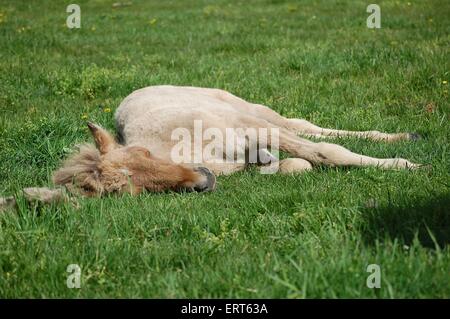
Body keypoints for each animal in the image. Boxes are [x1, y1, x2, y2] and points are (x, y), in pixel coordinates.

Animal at [0, 85, 422, 210]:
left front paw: (405, 165)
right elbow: (295, 163)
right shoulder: (252, 151)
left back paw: (403, 139)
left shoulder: (250, 129)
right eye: (133, 190)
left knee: (302, 125)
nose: (202, 181)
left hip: (249, 109)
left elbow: (326, 152)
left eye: (144, 155)